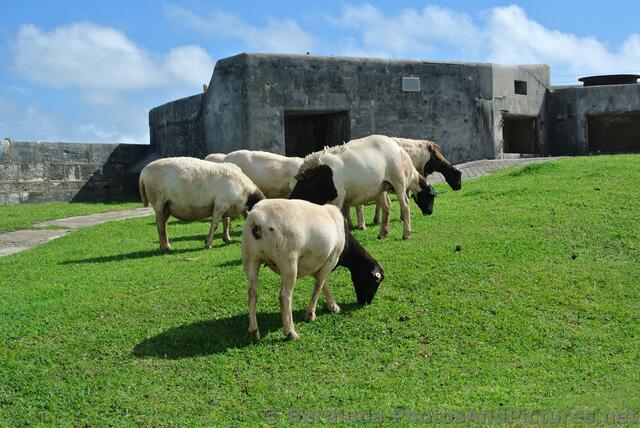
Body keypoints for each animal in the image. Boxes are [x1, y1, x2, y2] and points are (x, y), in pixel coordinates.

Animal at [242, 199, 384, 340]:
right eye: (374, 282)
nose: (366, 302)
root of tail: (257, 218)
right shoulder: (332, 259)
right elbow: (319, 285)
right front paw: (311, 314)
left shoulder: (315, 263)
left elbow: (322, 284)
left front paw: (333, 306)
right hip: (288, 262)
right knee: (284, 296)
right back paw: (291, 332)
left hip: (251, 258)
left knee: (252, 293)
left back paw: (254, 331)